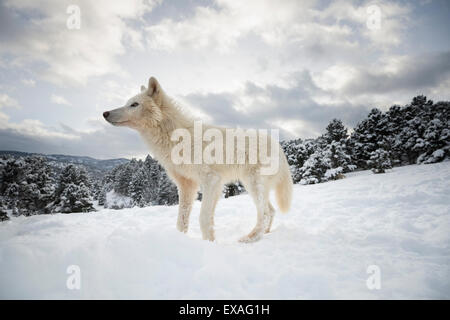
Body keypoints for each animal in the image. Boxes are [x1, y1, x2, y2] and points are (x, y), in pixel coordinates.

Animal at [103, 78, 294, 242]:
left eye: (134, 104)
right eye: (127, 103)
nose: (105, 113)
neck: (177, 138)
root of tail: (279, 147)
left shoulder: (212, 181)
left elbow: (204, 218)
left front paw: (209, 243)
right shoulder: (187, 186)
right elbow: (181, 220)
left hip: (252, 183)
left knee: (265, 213)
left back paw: (249, 239)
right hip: (252, 185)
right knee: (271, 211)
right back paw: (264, 234)